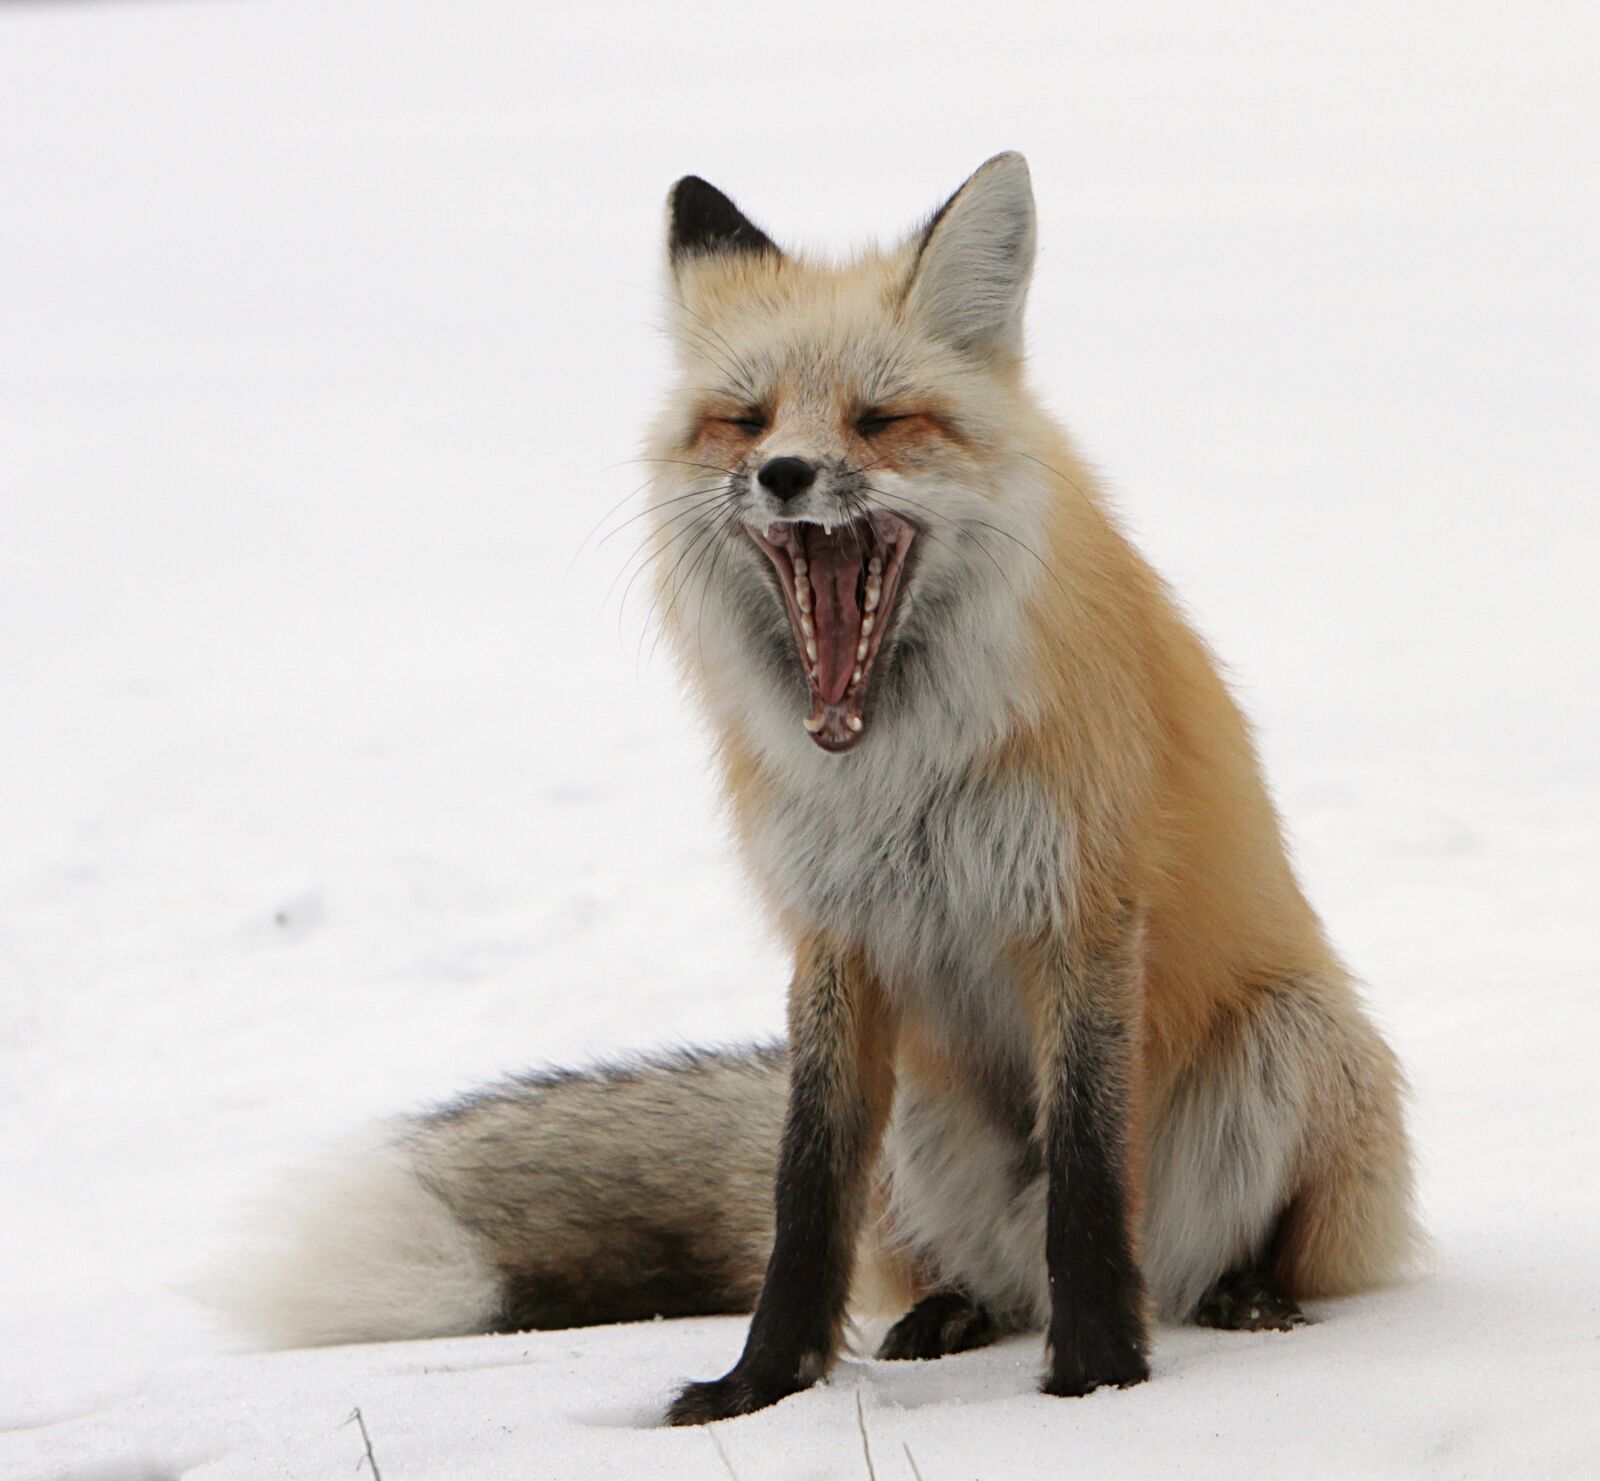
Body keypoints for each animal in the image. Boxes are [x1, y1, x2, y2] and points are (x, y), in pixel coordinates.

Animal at [224, 153, 1419, 1422]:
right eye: (744, 420)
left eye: (880, 420)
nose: (783, 473)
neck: (899, 775)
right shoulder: (835, 931)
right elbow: (804, 1191)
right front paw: (758, 1386)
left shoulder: (1081, 910)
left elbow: (1090, 1177)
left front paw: (1098, 1376)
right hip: (925, 1127)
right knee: (960, 1269)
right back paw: (950, 1309)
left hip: (1295, 1035)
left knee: (1213, 1250)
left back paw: (1242, 1291)